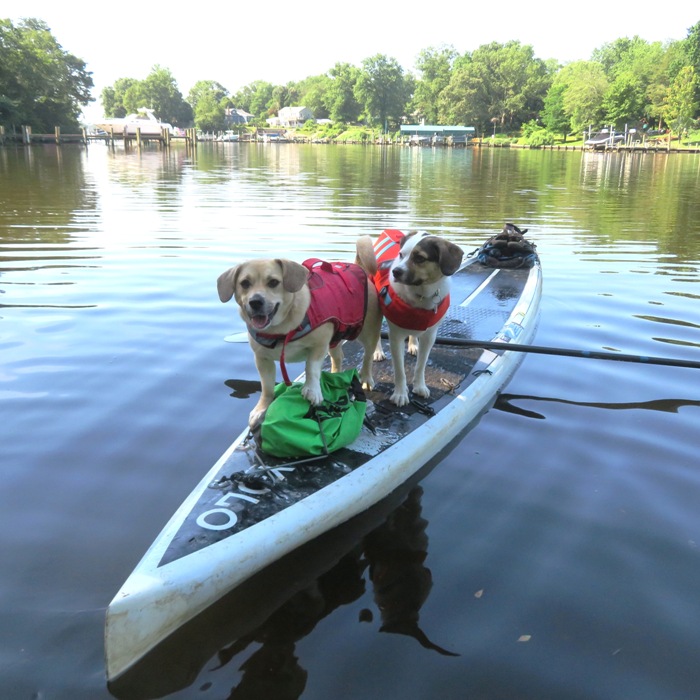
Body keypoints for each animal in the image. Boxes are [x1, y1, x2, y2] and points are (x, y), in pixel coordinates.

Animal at [219, 239, 382, 426]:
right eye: (245, 283)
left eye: (273, 282)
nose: (255, 302)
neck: (281, 329)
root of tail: (358, 266)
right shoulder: (262, 359)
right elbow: (266, 387)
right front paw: (261, 408)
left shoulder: (319, 346)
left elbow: (311, 367)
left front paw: (312, 389)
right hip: (335, 338)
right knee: (338, 357)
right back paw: (335, 375)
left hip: (367, 333)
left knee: (367, 357)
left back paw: (366, 378)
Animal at [372, 230, 464, 404]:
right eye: (401, 255)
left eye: (420, 258)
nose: (395, 272)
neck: (421, 294)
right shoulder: (396, 336)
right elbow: (399, 370)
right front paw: (400, 393)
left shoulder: (430, 336)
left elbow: (421, 365)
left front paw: (420, 386)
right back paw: (377, 351)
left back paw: (413, 344)